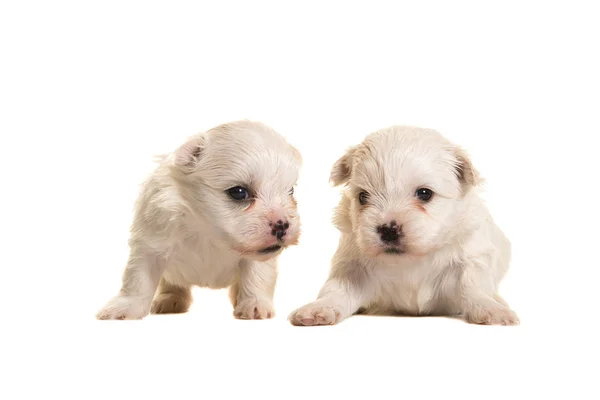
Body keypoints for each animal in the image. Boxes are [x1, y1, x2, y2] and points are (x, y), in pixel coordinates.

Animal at [99, 120, 304, 320]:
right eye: (239, 192)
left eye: (291, 191)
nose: (283, 225)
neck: (207, 231)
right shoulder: (149, 245)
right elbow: (137, 279)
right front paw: (125, 307)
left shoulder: (258, 256)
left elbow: (257, 276)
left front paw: (255, 305)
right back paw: (170, 298)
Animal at [288, 126, 516, 326]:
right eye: (363, 196)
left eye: (425, 193)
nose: (388, 229)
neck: (411, 260)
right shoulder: (353, 268)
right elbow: (338, 289)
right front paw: (320, 308)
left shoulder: (469, 257)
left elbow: (472, 284)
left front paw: (490, 308)